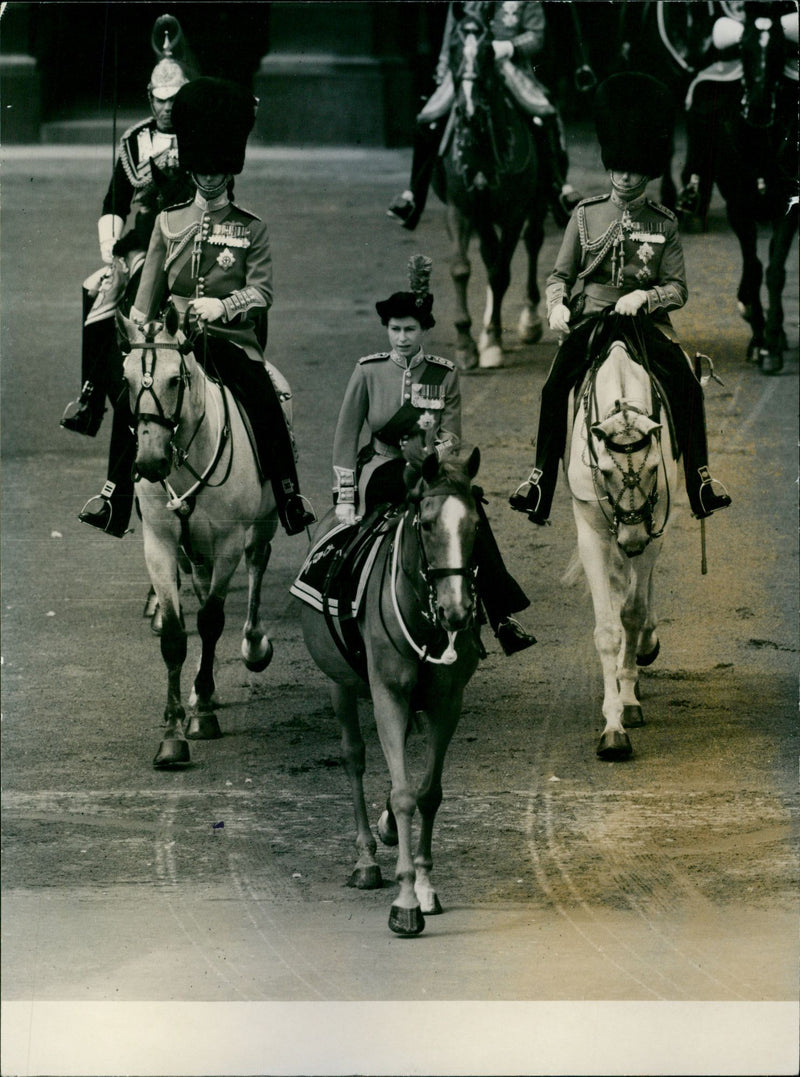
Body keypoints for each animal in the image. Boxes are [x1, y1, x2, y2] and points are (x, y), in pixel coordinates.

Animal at [117, 308, 279, 771]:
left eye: (176, 379)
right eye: (125, 379)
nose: (149, 464)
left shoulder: (227, 543)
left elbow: (210, 621)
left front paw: (203, 713)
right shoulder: (160, 544)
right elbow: (175, 637)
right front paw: (172, 737)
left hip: (262, 523)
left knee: (257, 563)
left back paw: (253, 645)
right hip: (196, 550)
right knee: (203, 580)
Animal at [301, 445, 482, 934]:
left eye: (475, 525)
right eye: (427, 524)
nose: (457, 610)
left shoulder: (447, 703)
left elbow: (428, 792)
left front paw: (424, 884)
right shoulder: (387, 695)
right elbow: (403, 795)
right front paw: (405, 900)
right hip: (341, 685)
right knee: (355, 758)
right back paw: (365, 859)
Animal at [432, 8, 551, 370]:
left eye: (486, 52)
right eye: (454, 48)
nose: (468, 110)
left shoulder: (513, 212)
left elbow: (500, 273)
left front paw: (494, 343)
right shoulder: (461, 209)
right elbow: (462, 268)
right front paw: (466, 343)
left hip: (536, 205)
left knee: (531, 242)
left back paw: (529, 321)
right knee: (489, 254)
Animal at [568, 314, 680, 762]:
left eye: (651, 468)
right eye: (606, 471)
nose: (631, 539)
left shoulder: (655, 531)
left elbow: (632, 613)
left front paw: (627, 702)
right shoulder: (593, 537)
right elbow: (607, 629)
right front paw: (612, 726)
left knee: (640, 592)